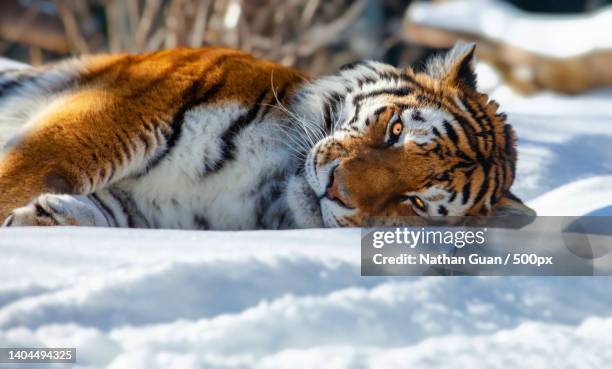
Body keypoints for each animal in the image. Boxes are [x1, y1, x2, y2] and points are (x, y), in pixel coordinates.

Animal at [0, 41, 536, 229]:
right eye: (396, 129)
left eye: (416, 202)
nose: (336, 189)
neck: (269, 181)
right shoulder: (117, 117)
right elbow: (27, 175)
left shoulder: (155, 211)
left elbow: (100, 211)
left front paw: (43, 218)